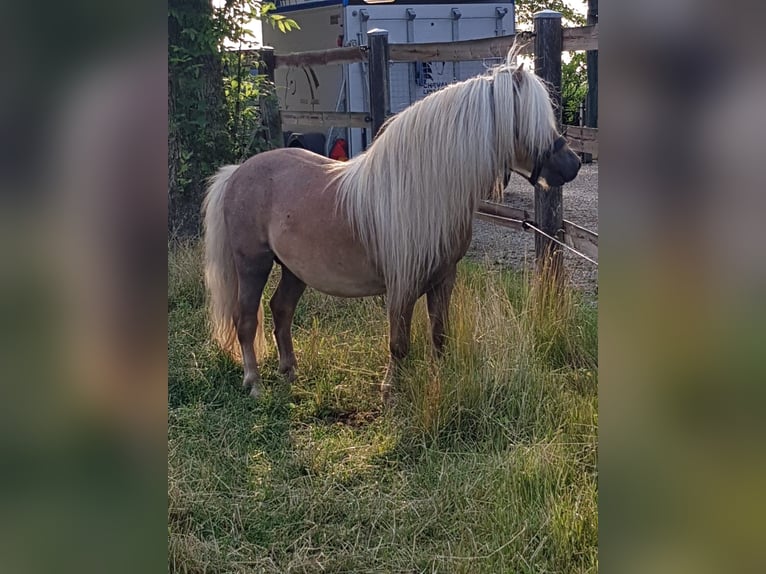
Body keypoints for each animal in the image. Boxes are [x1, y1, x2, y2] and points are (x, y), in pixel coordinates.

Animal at [204, 55, 584, 404]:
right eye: (529, 121)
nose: (574, 164)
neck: (423, 192)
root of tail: (237, 172)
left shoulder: (444, 279)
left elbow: (439, 336)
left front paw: (438, 382)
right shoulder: (402, 285)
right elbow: (399, 342)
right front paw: (390, 392)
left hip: (293, 269)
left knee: (280, 309)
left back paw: (289, 371)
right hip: (252, 264)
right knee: (245, 319)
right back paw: (254, 382)